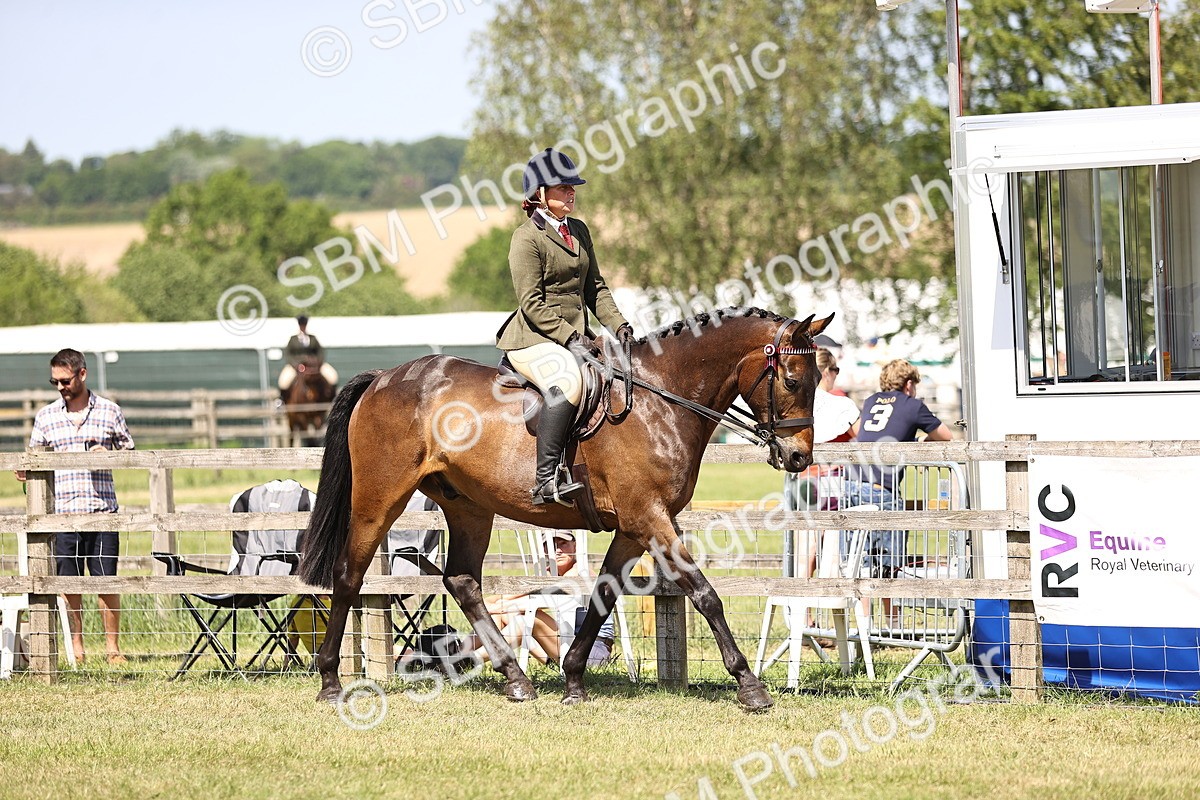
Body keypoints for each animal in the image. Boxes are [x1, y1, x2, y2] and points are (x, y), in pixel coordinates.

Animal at [299, 307, 833, 710]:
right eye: (792, 381)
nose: (799, 458)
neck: (662, 400)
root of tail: (383, 378)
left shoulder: (634, 527)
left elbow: (601, 597)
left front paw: (573, 681)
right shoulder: (650, 518)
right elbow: (705, 595)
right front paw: (751, 687)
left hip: (468, 505)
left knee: (463, 581)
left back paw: (517, 681)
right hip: (379, 497)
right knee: (349, 575)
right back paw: (330, 682)